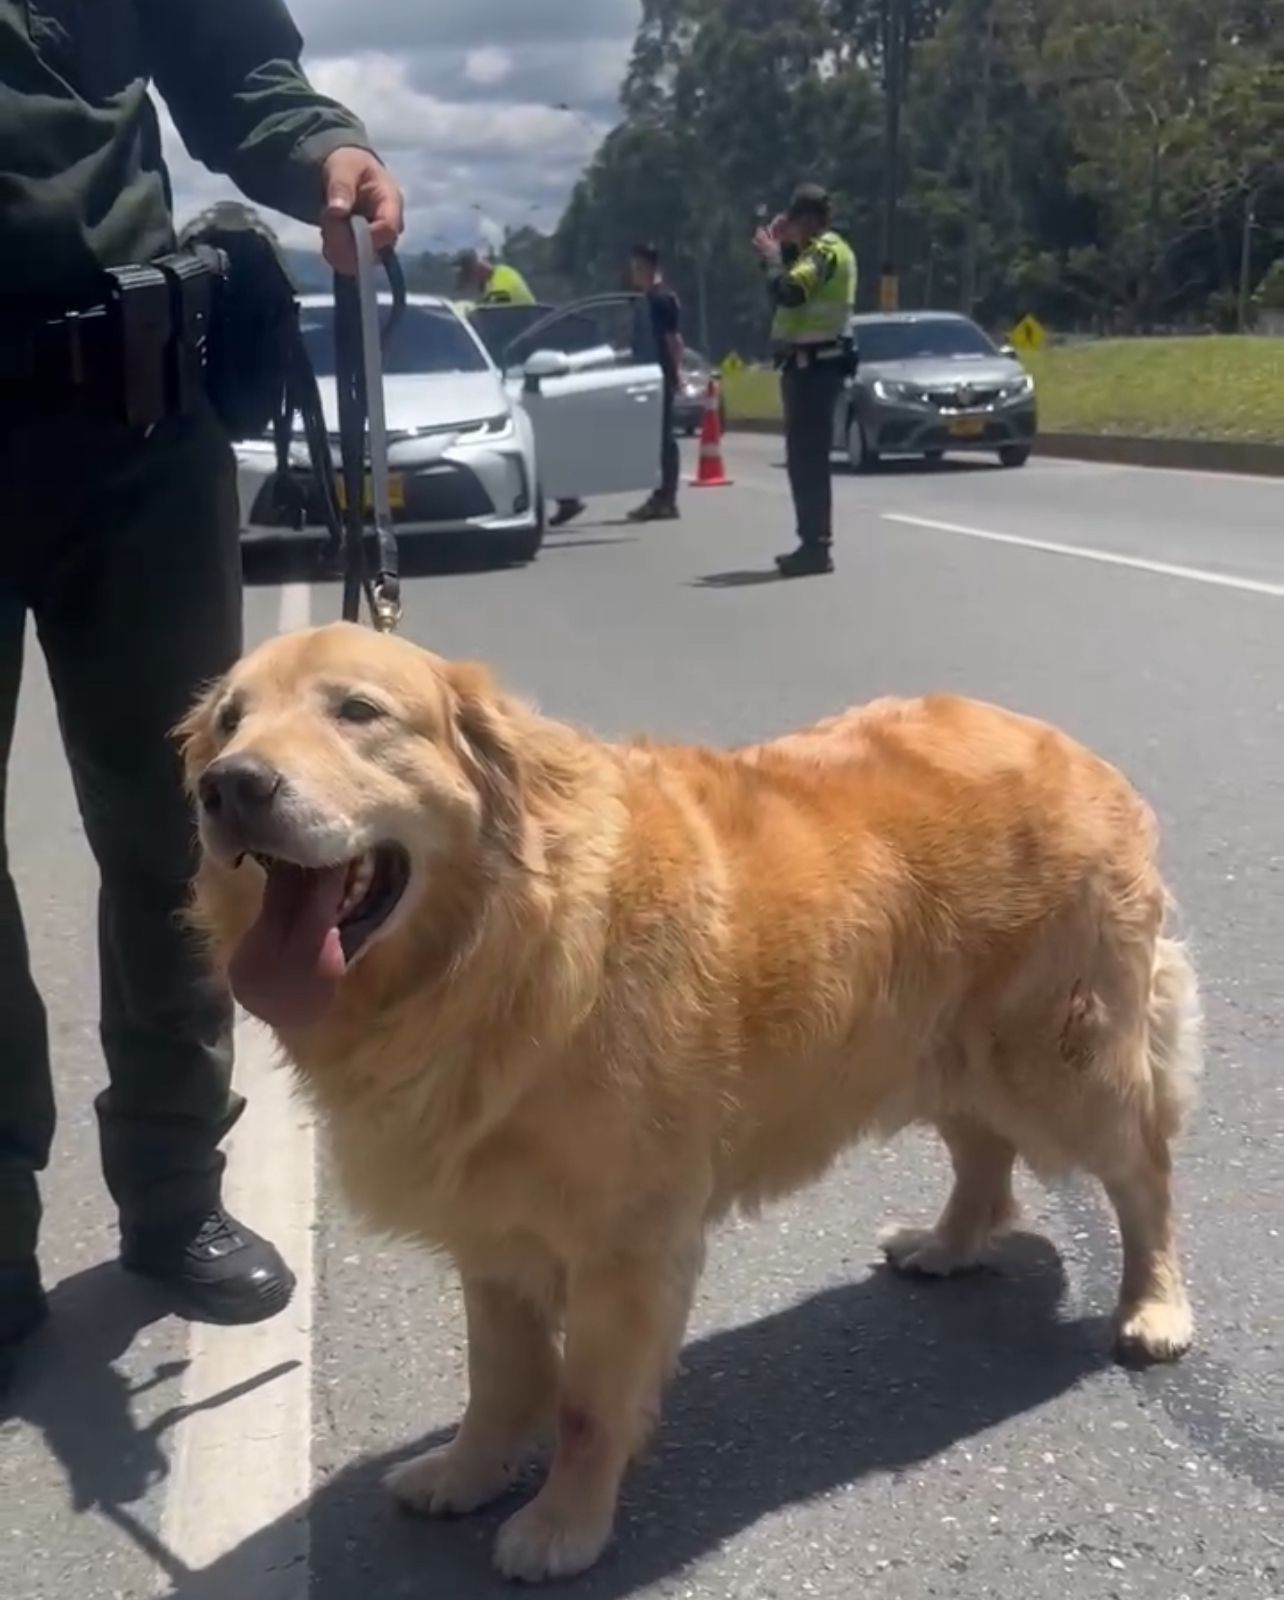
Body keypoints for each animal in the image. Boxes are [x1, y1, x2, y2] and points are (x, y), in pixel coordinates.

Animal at [175, 617, 1197, 1580]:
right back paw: (947, 1246)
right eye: (229, 720)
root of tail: (1070, 745)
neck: (499, 945)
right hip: (940, 1047)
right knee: (985, 1153)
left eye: (358, 712)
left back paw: (1154, 1306)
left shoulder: (626, 1241)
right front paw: (468, 1471)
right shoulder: (493, 1226)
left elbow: (587, 1407)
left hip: (1062, 1064)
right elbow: (497, 1376)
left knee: (1143, 1174)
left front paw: (562, 1527)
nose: (230, 787)